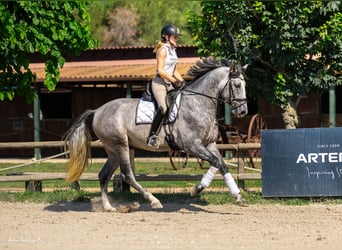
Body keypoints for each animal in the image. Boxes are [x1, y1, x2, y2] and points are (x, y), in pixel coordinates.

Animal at [65, 57, 248, 212]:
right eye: (237, 85)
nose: (243, 112)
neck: (198, 103)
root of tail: (97, 111)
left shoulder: (209, 144)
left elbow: (222, 165)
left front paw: (239, 197)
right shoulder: (192, 146)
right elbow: (215, 162)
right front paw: (196, 189)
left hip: (113, 150)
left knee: (104, 175)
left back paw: (108, 207)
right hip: (120, 145)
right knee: (127, 175)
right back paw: (153, 200)